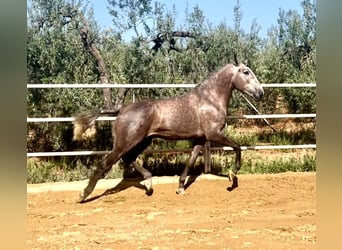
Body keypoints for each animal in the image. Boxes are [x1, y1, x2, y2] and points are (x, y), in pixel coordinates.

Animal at [73, 62, 264, 203]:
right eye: (246, 72)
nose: (260, 93)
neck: (209, 99)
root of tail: (121, 110)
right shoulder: (213, 134)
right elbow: (237, 147)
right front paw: (232, 176)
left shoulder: (200, 139)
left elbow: (190, 161)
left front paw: (180, 188)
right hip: (126, 142)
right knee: (106, 163)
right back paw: (83, 195)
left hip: (143, 141)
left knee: (128, 159)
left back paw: (149, 184)